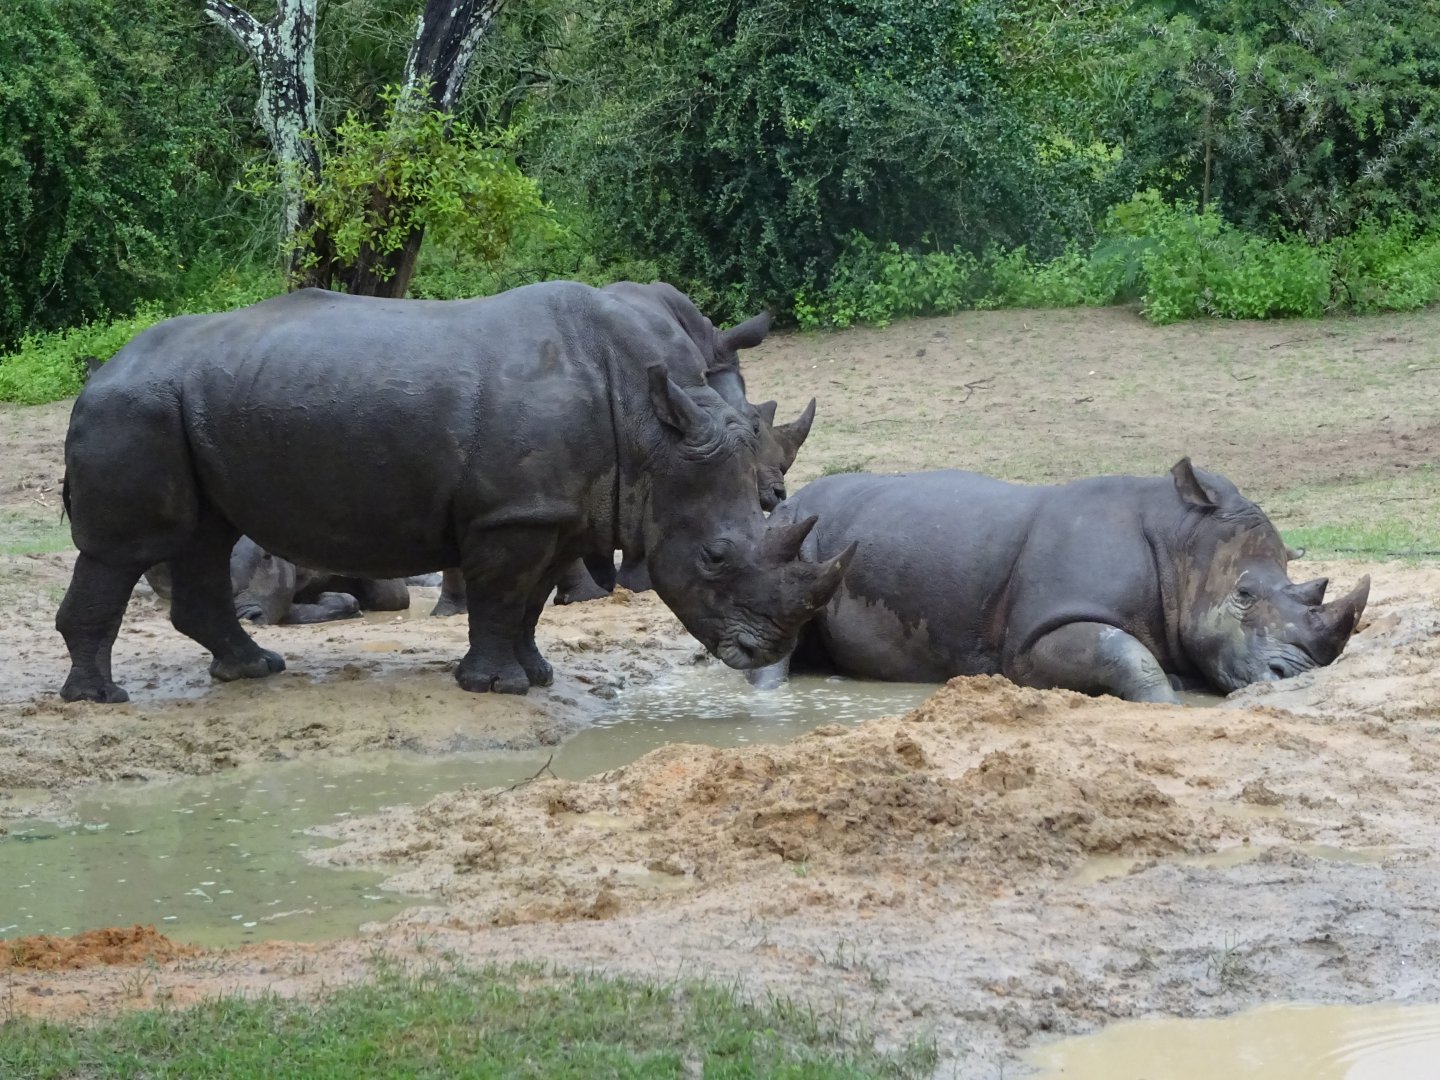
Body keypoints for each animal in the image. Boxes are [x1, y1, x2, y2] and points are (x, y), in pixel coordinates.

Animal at [746, 460, 1368, 703]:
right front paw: (1168, 701)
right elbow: (1124, 652)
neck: (1182, 543)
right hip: (794, 534)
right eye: (1242, 595)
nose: (1295, 676)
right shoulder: (1032, 639)